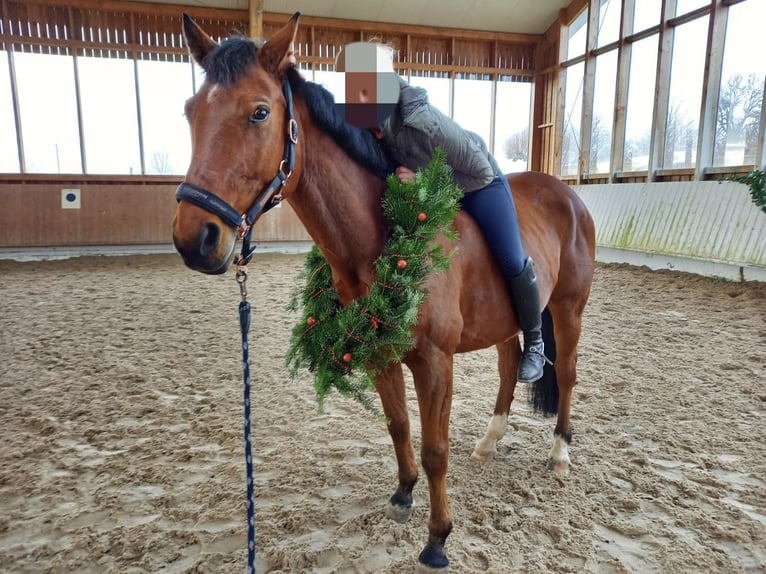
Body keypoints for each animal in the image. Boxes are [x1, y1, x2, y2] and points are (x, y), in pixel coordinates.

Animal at [172, 13, 596, 573]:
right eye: (190, 111)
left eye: (259, 112)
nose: (194, 239)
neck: (382, 234)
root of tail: (566, 192)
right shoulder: (377, 351)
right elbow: (398, 425)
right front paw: (403, 494)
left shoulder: (434, 362)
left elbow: (436, 449)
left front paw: (438, 539)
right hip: (506, 321)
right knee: (510, 367)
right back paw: (489, 441)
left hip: (569, 310)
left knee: (565, 374)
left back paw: (560, 453)